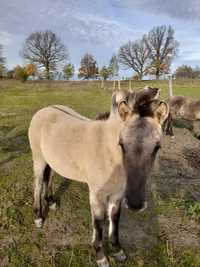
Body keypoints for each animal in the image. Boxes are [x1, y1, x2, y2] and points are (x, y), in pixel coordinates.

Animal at [28, 90, 169, 267]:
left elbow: (114, 219)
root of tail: (45, 109)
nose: (135, 204)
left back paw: (51, 202)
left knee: (49, 177)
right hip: (38, 159)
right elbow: (99, 222)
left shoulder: (117, 194)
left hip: (52, 161)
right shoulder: (97, 194)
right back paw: (38, 218)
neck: (109, 152)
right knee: (38, 183)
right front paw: (101, 256)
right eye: (121, 144)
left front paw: (117, 250)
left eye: (157, 147)